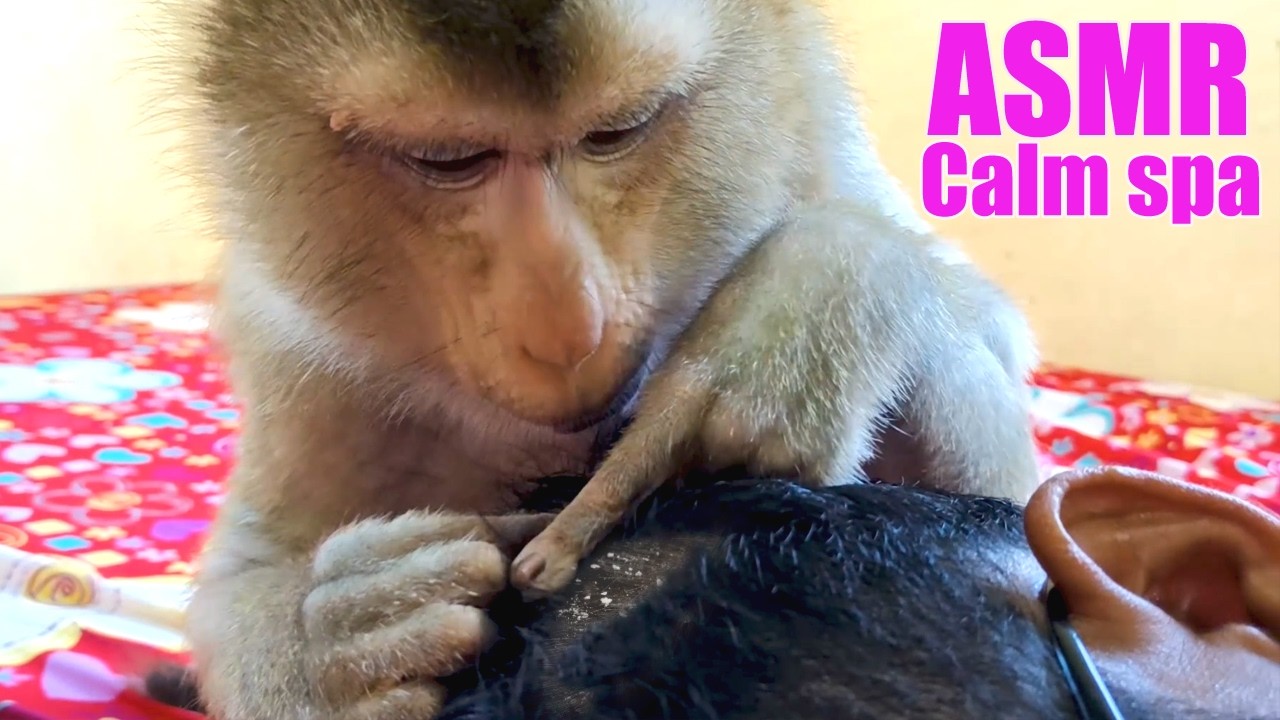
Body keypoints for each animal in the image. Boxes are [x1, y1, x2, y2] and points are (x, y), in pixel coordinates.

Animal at [166, 0, 1043, 717]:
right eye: (448, 159)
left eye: (616, 132)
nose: (567, 330)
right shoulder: (293, 344)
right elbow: (244, 568)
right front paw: (338, 645)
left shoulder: (814, 131)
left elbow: (992, 343)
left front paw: (800, 302)